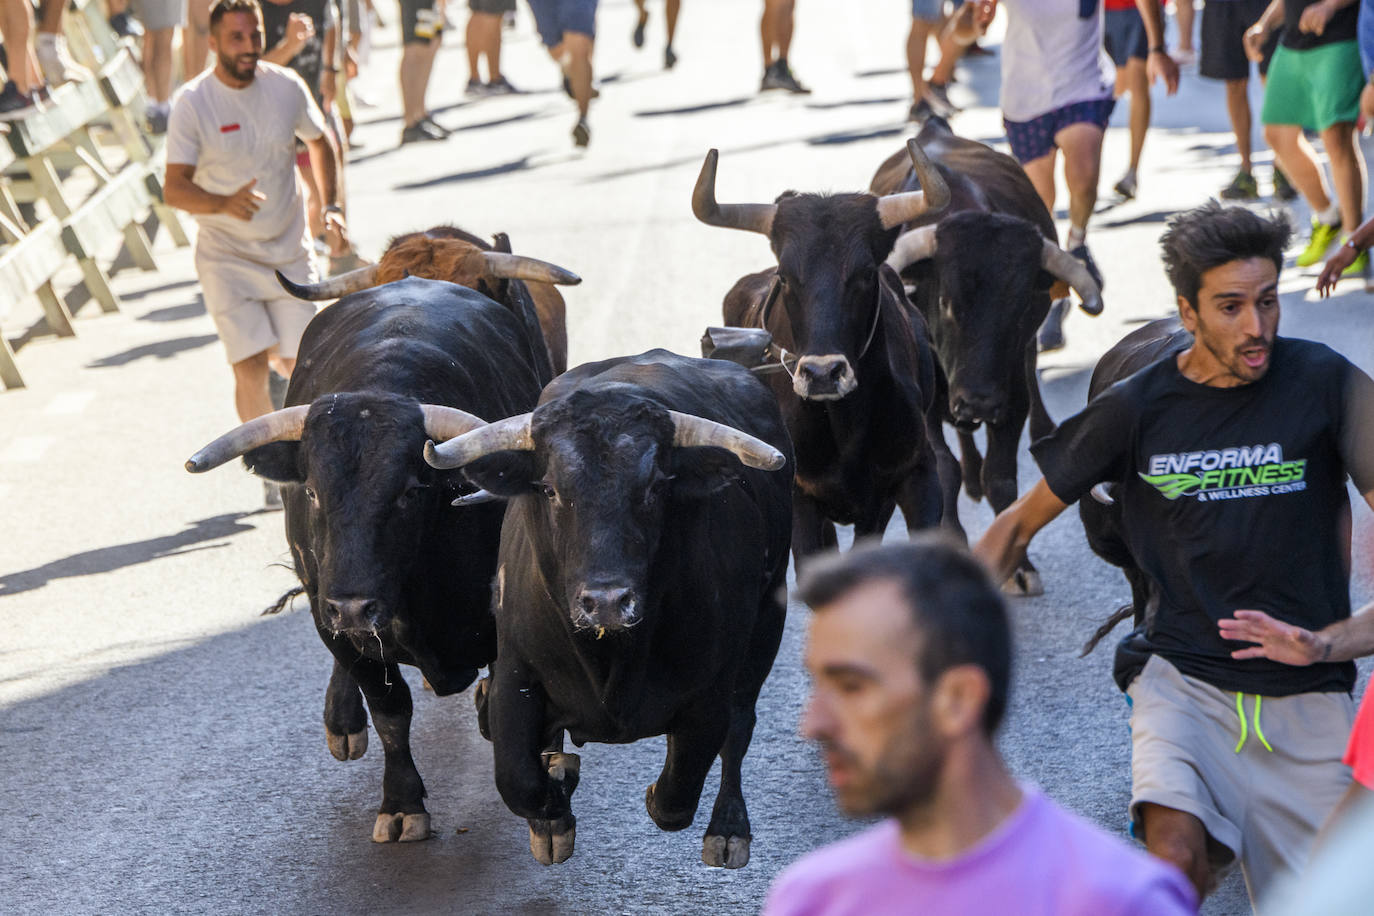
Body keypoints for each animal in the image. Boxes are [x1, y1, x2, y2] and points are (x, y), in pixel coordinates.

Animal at [185, 277, 549, 845]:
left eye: (410, 491)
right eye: (312, 491)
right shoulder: (329, 617)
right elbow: (390, 713)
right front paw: (401, 804)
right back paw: (342, 721)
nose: (355, 606)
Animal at [428, 351, 796, 873]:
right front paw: (555, 805)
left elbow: (677, 794)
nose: (606, 602)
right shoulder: (515, 673)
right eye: (549, 489)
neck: (611, 661)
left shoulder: (711, 694)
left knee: (741, 728)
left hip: (768, 623)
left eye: (656, 488)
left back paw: (729, 828)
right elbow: (519, 779)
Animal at [873, 118, 1099, 596]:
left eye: (1019, 307)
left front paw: (1019, 567)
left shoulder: (1009, 393)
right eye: (946, 303)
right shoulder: (924, 404)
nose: (978, 401)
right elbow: (945, 470)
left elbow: (1001, 475)